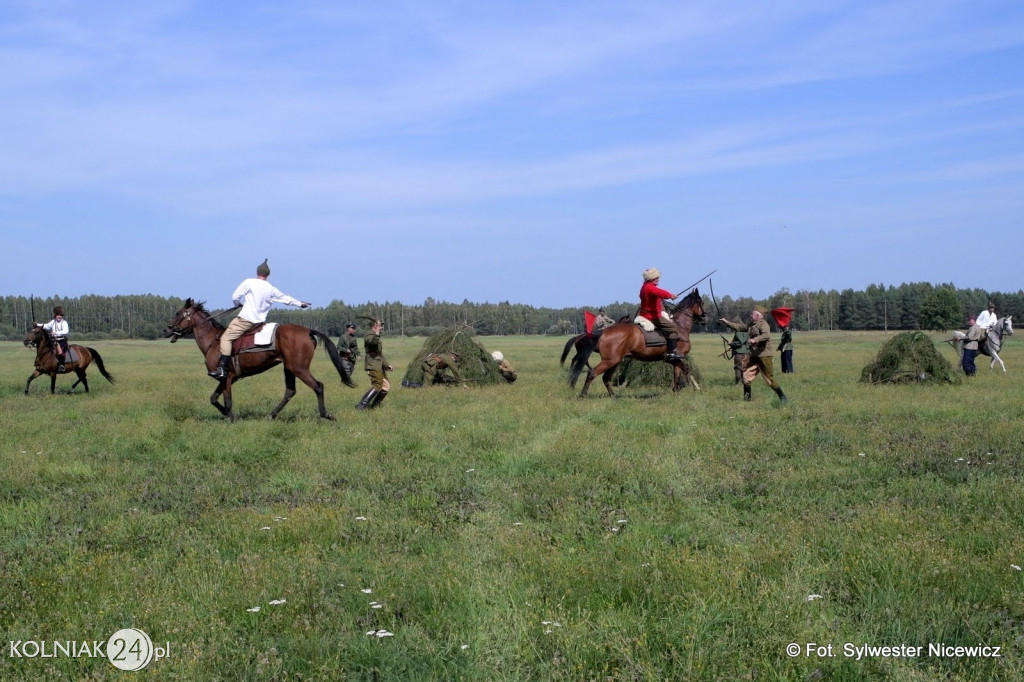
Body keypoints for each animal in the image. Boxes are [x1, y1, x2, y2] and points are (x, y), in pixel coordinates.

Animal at [164, 296, 356, 419]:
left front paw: (231, 417)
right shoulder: (228, 379)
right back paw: (271, 415)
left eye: (178, 313)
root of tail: (308, 331)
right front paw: (226, 414)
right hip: (288, 368)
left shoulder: (226, 377)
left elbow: (227, 400)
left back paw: (325, 414)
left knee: (318, 386)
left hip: (299, 368)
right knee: (290, 391)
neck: (214, 341)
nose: (166, 329)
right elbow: (213, 398)